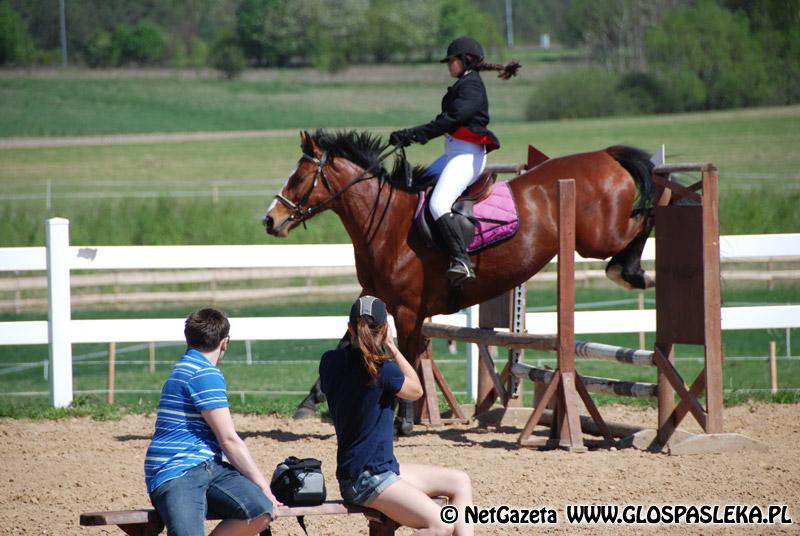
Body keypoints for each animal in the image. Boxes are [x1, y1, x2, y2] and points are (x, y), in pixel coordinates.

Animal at [262, 131, 656, 436]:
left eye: (298, 178)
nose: (270, 220)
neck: (386, 224)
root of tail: (605, 154)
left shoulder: (407, 310)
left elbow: (407, 357)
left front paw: (402, 422)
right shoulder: (374, 298)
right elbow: (349, 341)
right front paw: (308, 402)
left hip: (599, 238)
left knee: (646, 217)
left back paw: (631, 270)